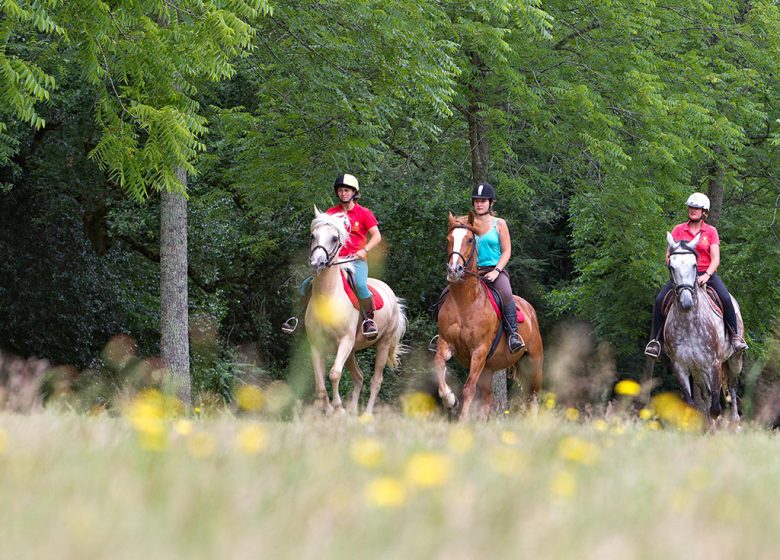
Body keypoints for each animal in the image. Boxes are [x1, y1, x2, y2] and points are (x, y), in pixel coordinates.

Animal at [304, 208, 406, 414]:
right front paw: (328, 409)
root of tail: (393, 297)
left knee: (376, 380)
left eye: (335, 238)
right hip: (352, 351)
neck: (328, 296)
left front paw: (338, 408)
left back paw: (365, 414)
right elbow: (320, 384)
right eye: (313, 235)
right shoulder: (317, 344)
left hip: (382, 344)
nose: (316, 263)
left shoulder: (345, 341)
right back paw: (352, 411)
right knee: (358, 377)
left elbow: (334, 374)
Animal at [432, 214, 544, 420]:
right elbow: (438, 366)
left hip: (534, 364)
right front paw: (451, 401)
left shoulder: (479, 351)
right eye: (449, 239)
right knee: (488, 398)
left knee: (532, 396)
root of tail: (529, 308)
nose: (454, 270)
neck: (465, 302)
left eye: (470, 239)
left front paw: (462, 420)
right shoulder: (445, 343)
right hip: (488, 369)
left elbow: (469, 388)